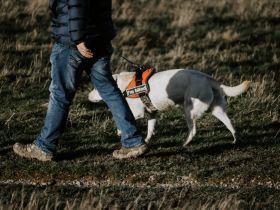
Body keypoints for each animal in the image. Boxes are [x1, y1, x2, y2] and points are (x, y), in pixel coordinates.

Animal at [88, 69, 250, 146]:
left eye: (96, 88)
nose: (87, 96)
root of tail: (210, 79)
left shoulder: (137, 113)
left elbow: (120, 119)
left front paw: (119, 131)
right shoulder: (151, 114)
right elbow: (150, 130)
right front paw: (146, 141)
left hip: (189, 110)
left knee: (193, 130)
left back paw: (185, 143)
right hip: (217, 110)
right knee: (230, 124)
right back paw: (235, 140)